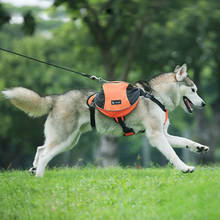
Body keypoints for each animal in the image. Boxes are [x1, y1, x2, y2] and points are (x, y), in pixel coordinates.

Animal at [1, 64, 208, 177]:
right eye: (193, 90)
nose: (204, 104)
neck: (155, 95)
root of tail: (56, 98)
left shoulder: (164, 133)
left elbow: (185, 141)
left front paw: (199, 147)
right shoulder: (156, 135)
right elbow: (173, 154)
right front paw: (184, 168)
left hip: (68, 140)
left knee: (40, 149)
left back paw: (34, 169)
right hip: (64, 138)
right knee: (45, 154)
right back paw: (40, 177)